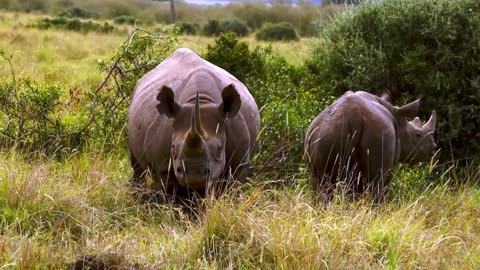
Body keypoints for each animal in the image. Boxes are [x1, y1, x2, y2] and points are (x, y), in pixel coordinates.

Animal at [128, 48, 258, 200]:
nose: (193, 174)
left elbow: (231, 188)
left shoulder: (239, 163)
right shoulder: (162, 166)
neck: (202, 101)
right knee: (136, 165)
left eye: (219, 149)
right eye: (173, 148)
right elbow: (171, 194)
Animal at [306, 90, 436, 202]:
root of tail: (353, 118)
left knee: (320, 183)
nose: (434, 147)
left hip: (325, 133)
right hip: (378, 133)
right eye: (418, 135)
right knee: (376, 186)